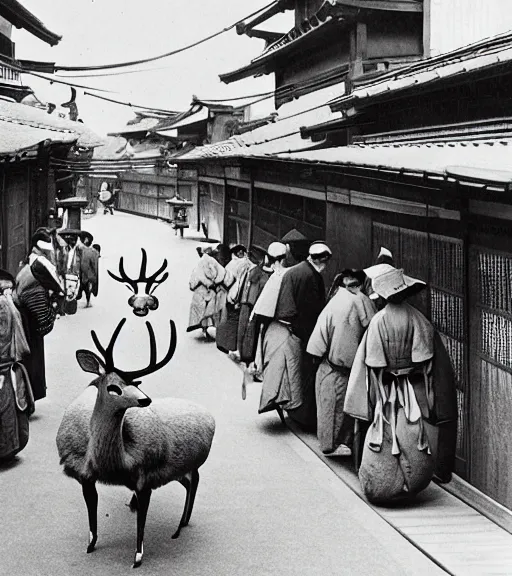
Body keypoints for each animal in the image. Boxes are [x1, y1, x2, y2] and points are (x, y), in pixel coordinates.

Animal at [56, 320, 216, 568]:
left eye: (135, 382)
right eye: (113, 387)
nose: (145, 399)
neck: (115, 465)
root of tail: (211, 418)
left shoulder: (146, 479)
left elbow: (141, 522)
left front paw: (137, 558)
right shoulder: (86, 476)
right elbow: (92, 511)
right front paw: (90, 545)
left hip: (183, 464)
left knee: (194, 480)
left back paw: (180, 525)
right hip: (179, 468)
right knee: (190, 481)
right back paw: (180, 521)